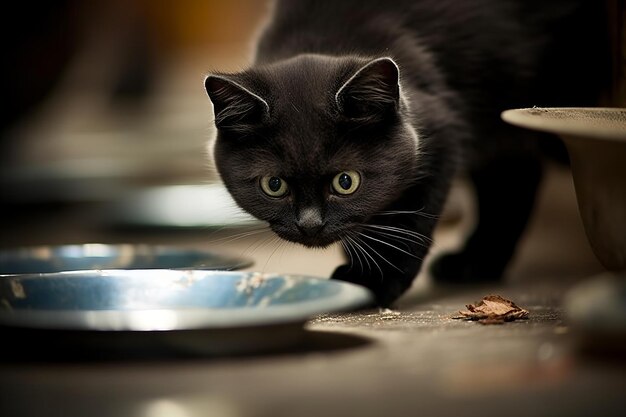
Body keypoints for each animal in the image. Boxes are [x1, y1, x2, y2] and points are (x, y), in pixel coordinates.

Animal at [204, 0, 608, 306]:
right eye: (273, 185)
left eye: (346, 182)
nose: (310, 225)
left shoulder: (440, 134)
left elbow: (403, 224)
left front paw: (370, 280)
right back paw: (475, 263)